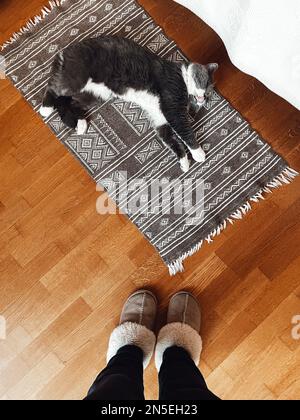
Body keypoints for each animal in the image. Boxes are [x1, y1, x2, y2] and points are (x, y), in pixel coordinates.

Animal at [39, 36, 218, 172]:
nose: (202, 98)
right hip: (77, 77)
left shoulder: (160, 118)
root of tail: (65, 51)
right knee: (53, 88)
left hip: (94, 95)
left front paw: (184, 162)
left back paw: (80, 124)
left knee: (68, 102)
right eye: (205, 83)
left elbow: (171, 139)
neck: (182, 77)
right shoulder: (172, 105)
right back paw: (45, 109)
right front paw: (198, 153)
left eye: (208, 95)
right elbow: (185, 130)